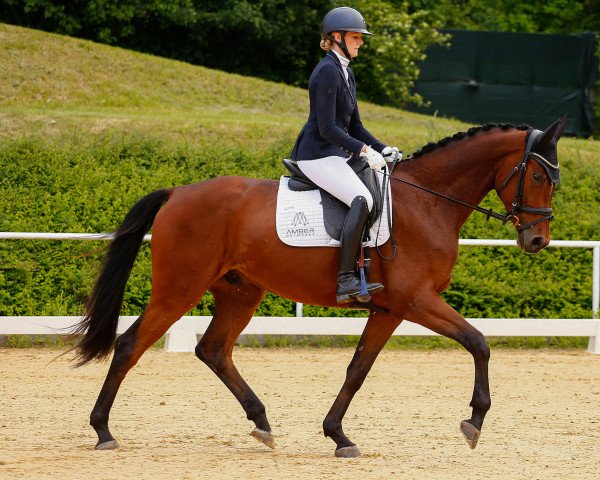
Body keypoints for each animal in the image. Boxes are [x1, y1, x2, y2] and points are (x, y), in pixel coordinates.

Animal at [71, 117, 568, 458]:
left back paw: (263, 423)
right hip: (180, 288)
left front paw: (338, 436)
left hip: (240, 291)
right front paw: (474, 421)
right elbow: (479, 342)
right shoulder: (417, 300)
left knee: (213, 350)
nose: (537, 241)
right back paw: (103, 430)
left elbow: (357, 369)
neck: (428, 201)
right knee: (131, 344)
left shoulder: (389, 309)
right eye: (538, 176)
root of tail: (177, 192)